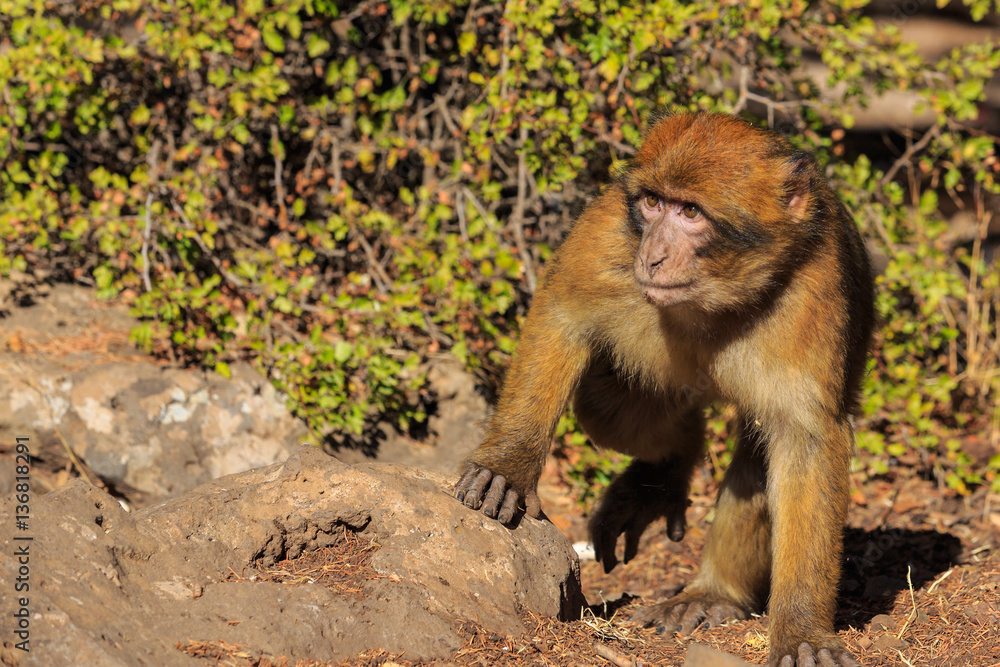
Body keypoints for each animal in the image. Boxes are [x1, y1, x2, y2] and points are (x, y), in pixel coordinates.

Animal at [454, 112, 874, 667]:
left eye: (691, 212)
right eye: (654, 204)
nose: (651, 256)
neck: (716, 298)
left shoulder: (814, 288)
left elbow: (805, 437)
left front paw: (802, 627)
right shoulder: (609, 230)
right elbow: (562, 315)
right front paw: (508, 464)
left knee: (756, 451)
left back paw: (714, 593)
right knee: (609, 403)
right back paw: (672, 461)